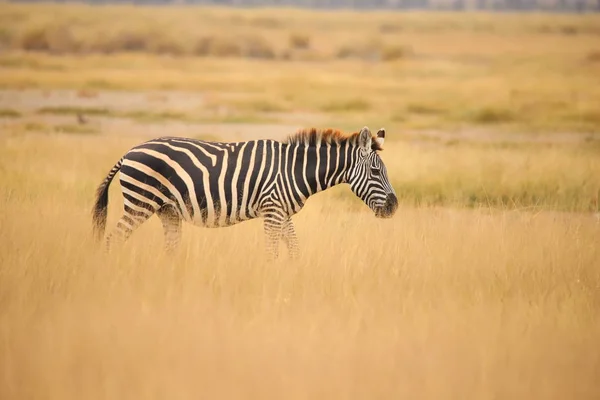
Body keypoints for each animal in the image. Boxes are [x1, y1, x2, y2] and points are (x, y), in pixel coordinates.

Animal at [91, 126, 396, 260]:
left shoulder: (282, 212)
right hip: (140, 202)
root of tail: (130, 151)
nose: (394, 206)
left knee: (170, 248)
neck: (295, 170)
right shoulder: (272, 211)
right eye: (375, 172)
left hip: (166, 210)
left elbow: (294, 249)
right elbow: (272, 252)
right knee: (112, 240)